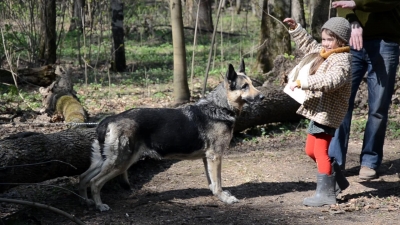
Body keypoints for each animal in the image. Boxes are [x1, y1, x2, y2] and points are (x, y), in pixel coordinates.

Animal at [79, 60, 264, 212]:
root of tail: (109, 119)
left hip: (105, 161)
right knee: (95, 183)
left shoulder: (207, 158)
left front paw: (216, 194)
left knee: (83, 178)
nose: (263, 97)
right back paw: (99, 205)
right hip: (120, 163)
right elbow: (217, 182)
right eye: (244, 86)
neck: (220, 107)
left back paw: (86, 202)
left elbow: (212, 182)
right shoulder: (215, 156)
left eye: (252, 84)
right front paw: (224, 198)